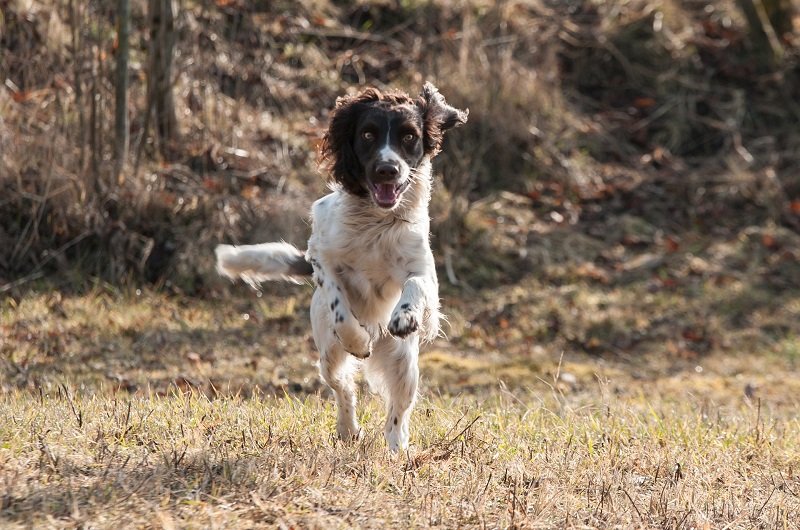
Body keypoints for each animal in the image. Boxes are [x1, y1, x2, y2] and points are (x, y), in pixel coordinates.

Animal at [216, 83, 468, 450]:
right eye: (367, 134)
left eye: (409, 136)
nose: (387, 169)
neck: (376, 221)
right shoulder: (321, 257)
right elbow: (339, 304)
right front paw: (359, 341)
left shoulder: (423, 270)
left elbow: (415, 285)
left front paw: (404, 316)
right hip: (328, 356)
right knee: (342, 387)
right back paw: (349, 428)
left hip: (404, 363)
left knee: (398, 411)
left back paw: (397, 450)